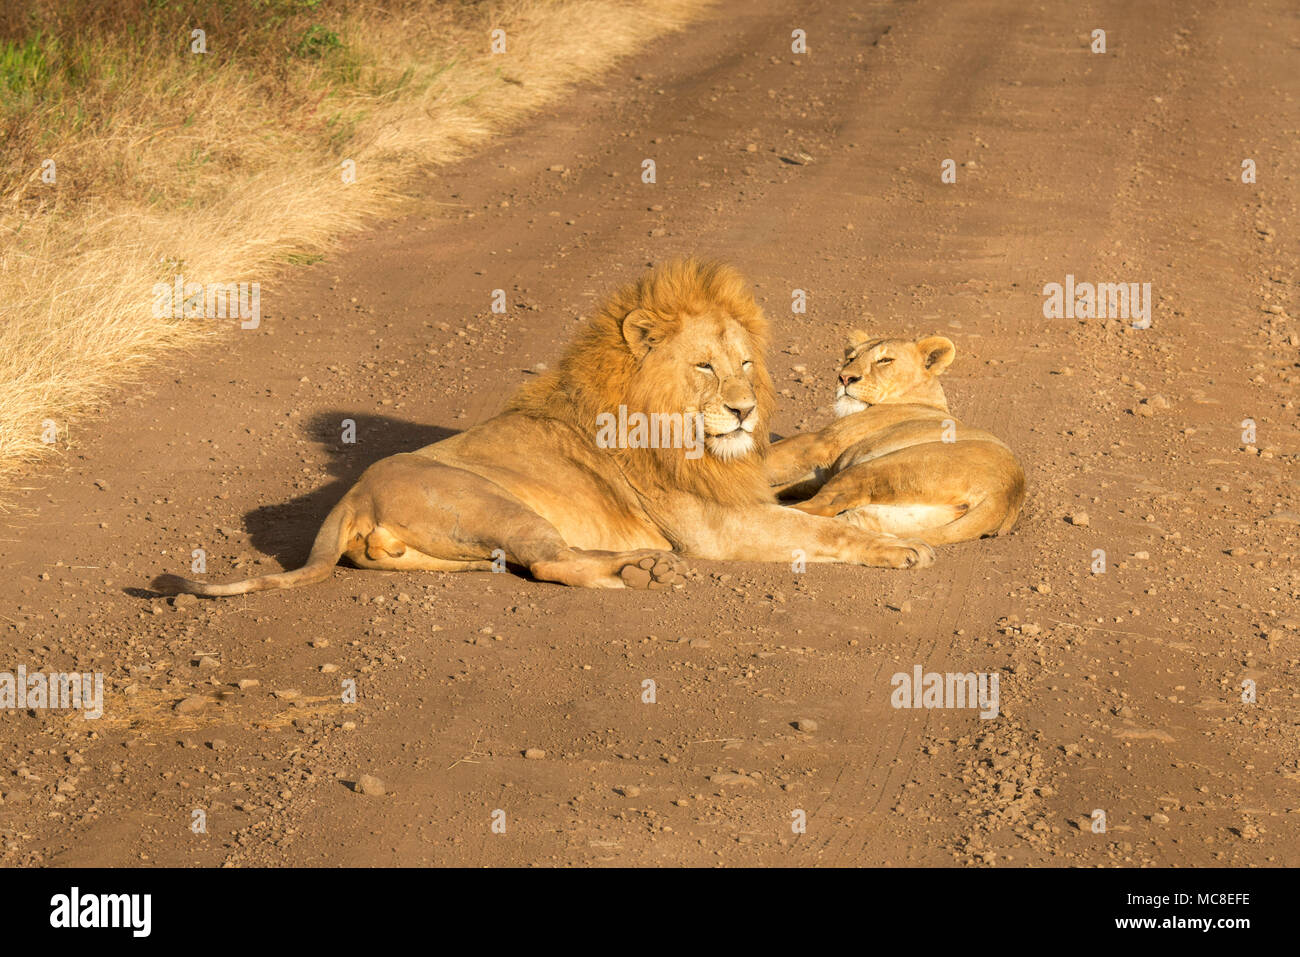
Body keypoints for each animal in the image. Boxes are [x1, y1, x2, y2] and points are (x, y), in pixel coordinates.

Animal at [154, 257, 935, 595]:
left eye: (746, 363)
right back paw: (646, 570)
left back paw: (641, 561)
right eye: (705, 367)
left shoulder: (735, 473)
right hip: (491, 502)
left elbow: (795, 453)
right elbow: (820, 531)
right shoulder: (716, 524)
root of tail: (351, 499)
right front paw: (897, 548)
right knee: (554, 562)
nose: (744, 408)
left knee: (537, 560)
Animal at [759, 332, 1024, 546]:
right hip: (892, 515)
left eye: (884, 360)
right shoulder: (823, 471)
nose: (844, 378)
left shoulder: (820, 442)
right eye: (850, 358)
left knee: (819, 507)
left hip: (872, 469)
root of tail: (1004, 496)